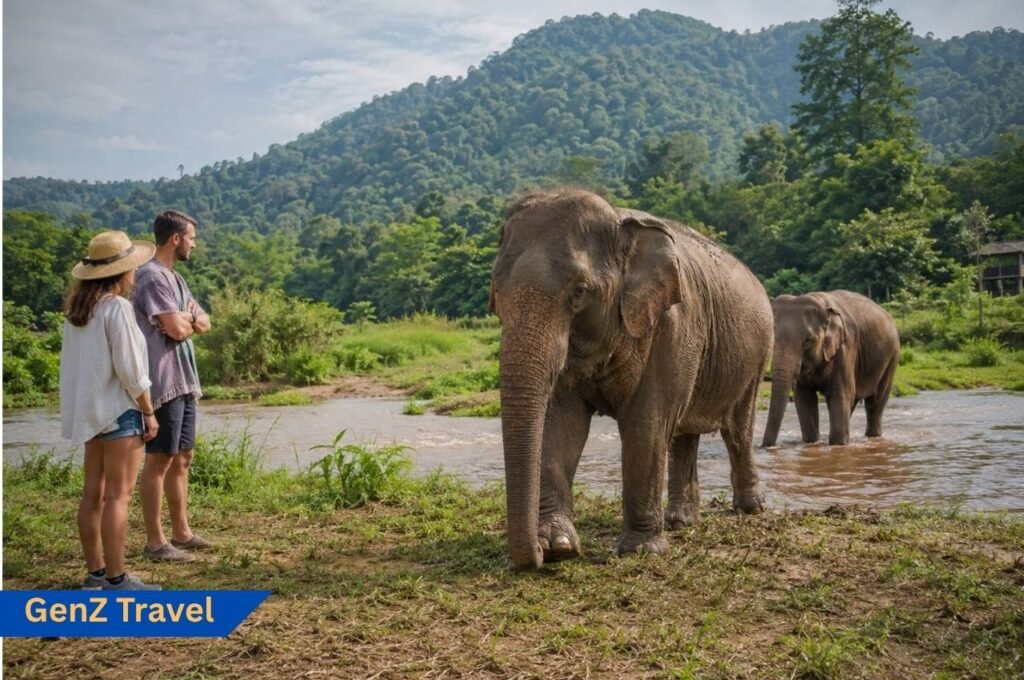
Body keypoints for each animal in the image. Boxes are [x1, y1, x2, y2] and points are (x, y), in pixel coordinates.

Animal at [490, 190, 774, 570]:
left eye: (579, 292)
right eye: (497, 292)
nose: (532, 554)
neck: (619, 220)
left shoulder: (672, 324)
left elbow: (646, 424)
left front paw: (641, 551)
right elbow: (560, 423)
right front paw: (558, 546)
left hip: (757, 355)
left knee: (737, 429)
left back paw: (750, 508)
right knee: (685, 433)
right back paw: (680, 521)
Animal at [761, 290, 900, 448]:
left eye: (808, 340)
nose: (767, 446)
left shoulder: (845, 348)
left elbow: (838, 395)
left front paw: (838, 444)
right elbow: (804, 398)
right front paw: (811, 442)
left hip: (892, 356)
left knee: (875, 402)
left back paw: (873, 436)